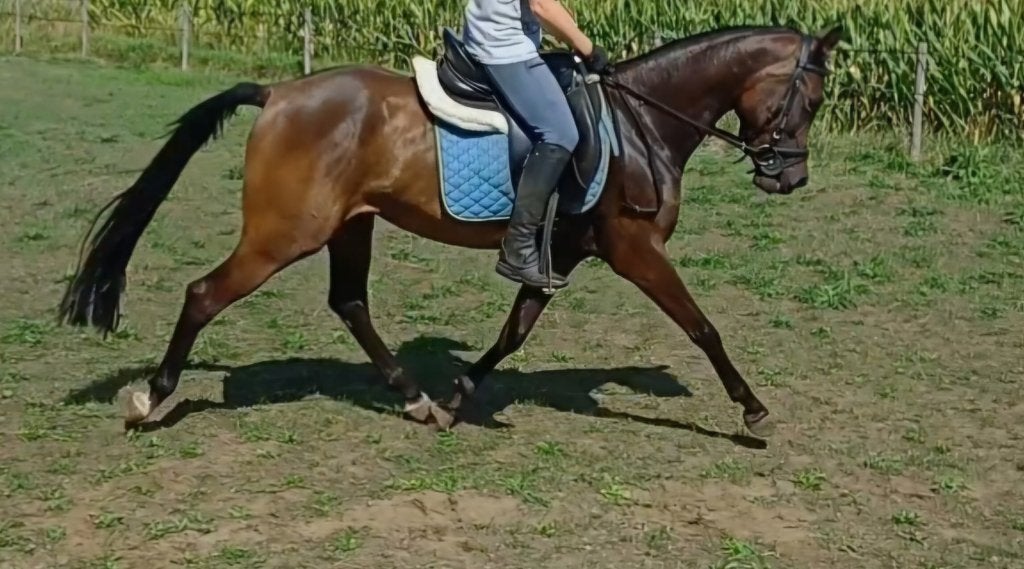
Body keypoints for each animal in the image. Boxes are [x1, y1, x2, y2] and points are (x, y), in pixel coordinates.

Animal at [58, 23, 843, 436]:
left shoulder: (563, 252)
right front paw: (753, 409)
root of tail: (278, 93)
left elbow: (514, 330)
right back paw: (149, 399)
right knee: (203, 294)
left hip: (351, 225)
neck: (642, 122)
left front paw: (464, 392)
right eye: (809, 98)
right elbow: (702, 326)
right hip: (284, 235)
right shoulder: (633, 249)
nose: (789, 179)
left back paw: (417, 398)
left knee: (349, 302)